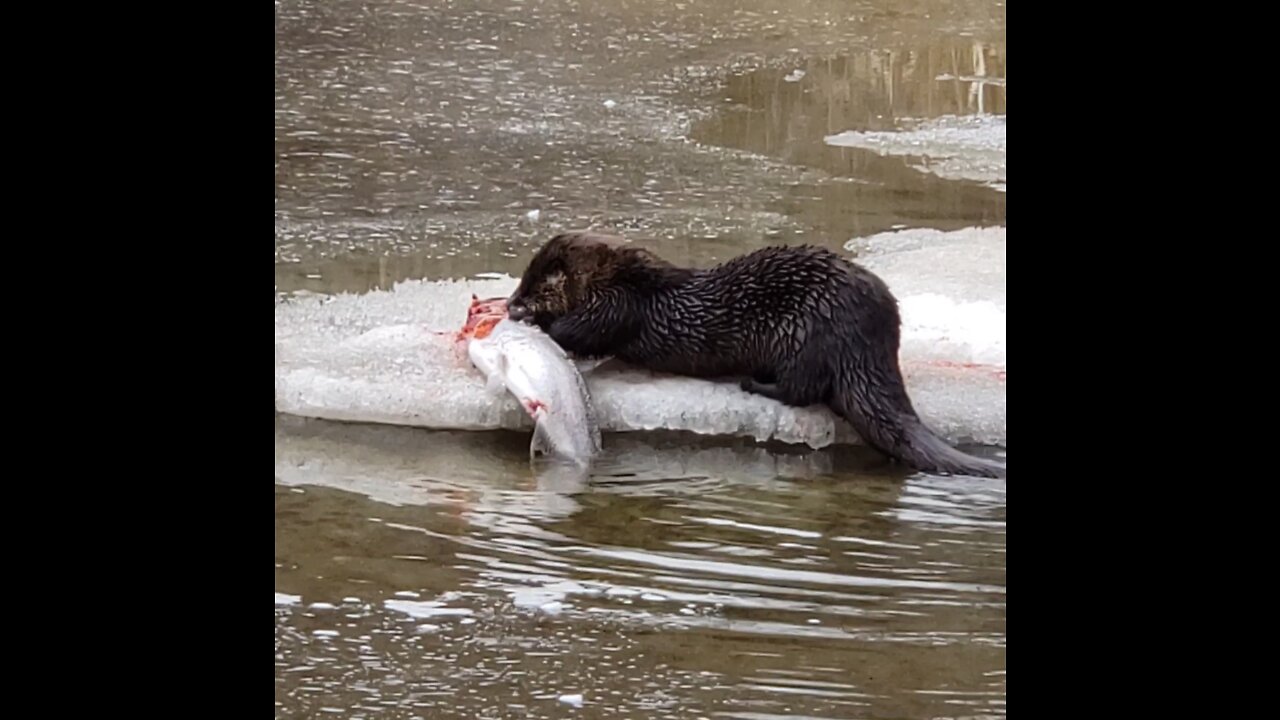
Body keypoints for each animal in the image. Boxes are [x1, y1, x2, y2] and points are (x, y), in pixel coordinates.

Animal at [504, 230, 1003, 476]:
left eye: (534, 285)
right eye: (521, 280)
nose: (511, 303)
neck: (628, 281)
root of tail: (875, 340)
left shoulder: (618, 307)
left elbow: (582, 331)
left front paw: (534, 322)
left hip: (805, 336)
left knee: (805, 389)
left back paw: (755, 383)